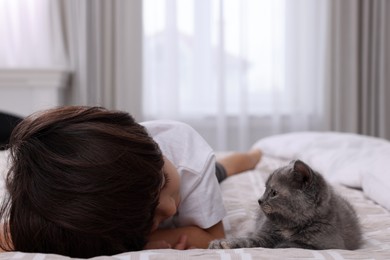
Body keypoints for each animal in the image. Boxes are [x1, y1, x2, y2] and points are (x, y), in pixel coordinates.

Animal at [210, 159, 362, 251]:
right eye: (264, 189)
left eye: (273, 192)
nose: (259, 200)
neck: (288, 227)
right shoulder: (263, 235)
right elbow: (248, 240)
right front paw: (223, 243)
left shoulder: (328, 245)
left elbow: (294, 245)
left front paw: (281, 245)